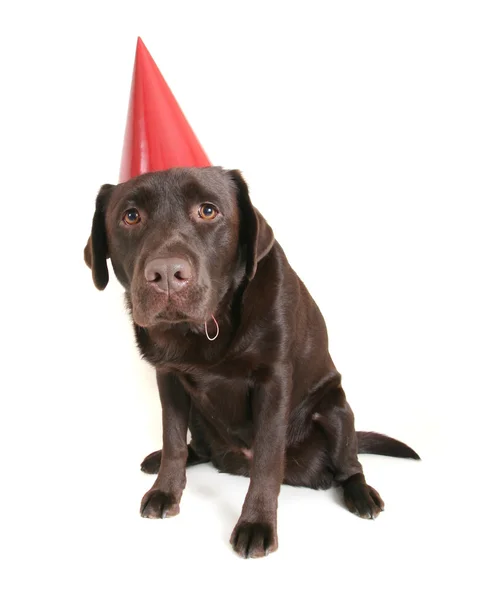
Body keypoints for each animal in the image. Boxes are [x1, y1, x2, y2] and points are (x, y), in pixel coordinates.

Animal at [83, 165, 418, 556]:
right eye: (131, 216)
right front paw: (165, 490)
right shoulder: (168, 377)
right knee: (198, 447)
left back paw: (361, 494)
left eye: (208, 211)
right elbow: (173, 440)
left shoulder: (273, 382)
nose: (166, 274)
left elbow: (268, 461)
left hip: (335, 407)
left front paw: (256, 523)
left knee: (350, 465)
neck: (205, 329)